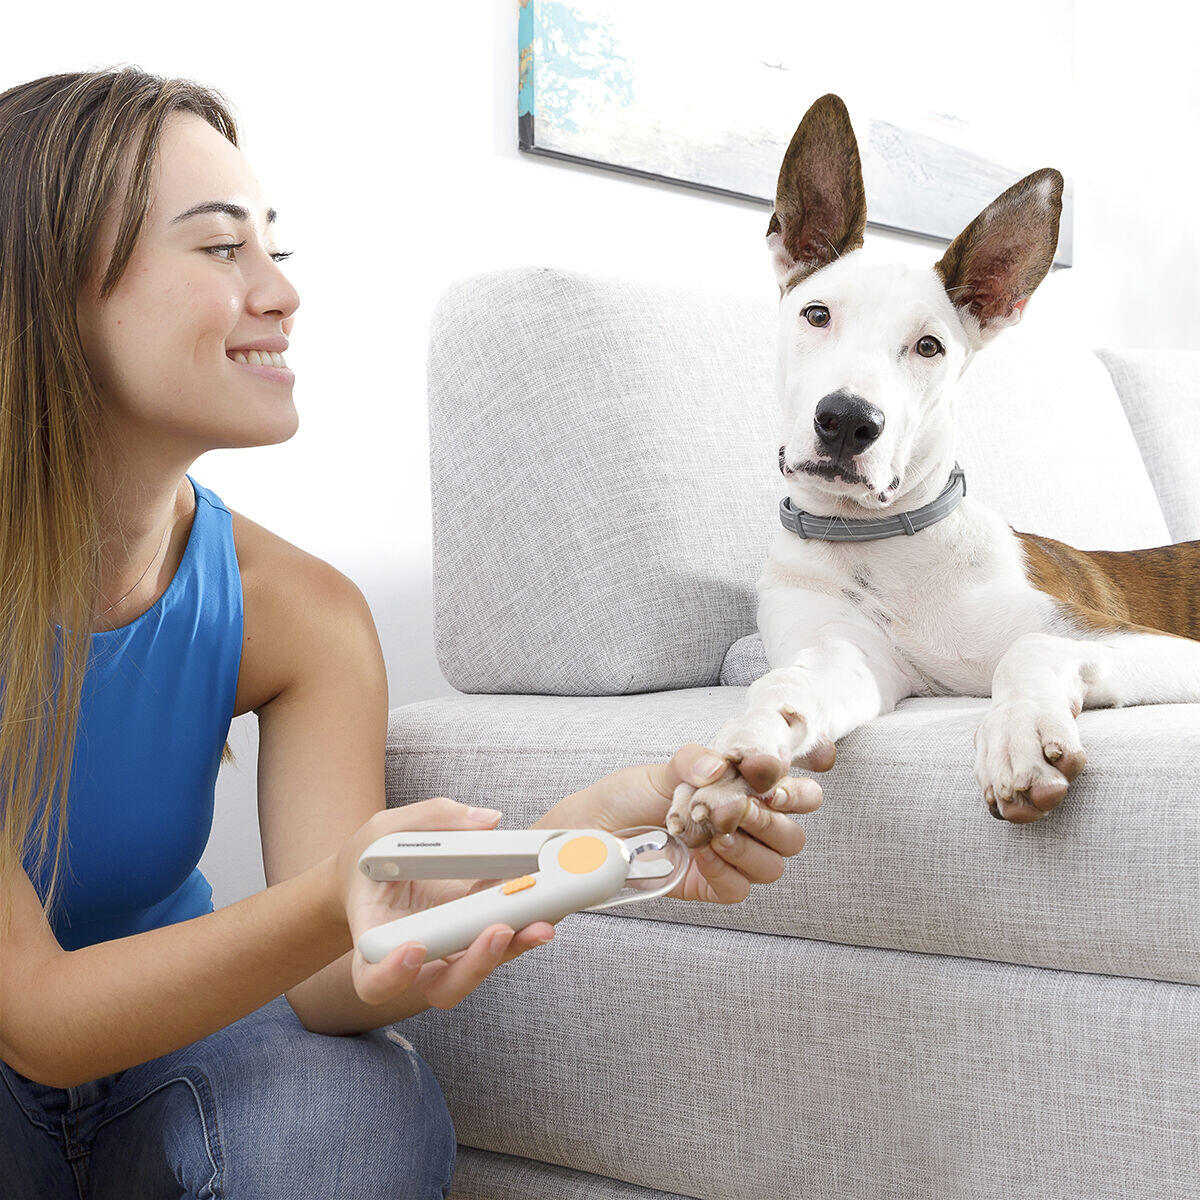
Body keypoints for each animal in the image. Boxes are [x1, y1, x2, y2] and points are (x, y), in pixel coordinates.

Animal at [667, 93, 1200, 835]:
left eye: (929, 346)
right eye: (816, 314)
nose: (847, 421)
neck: (883, 544)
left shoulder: (1142, 641)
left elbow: (1031, 646)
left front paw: (1019, 734)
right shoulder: (849, 656)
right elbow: (794, 681)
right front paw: (740, 755)